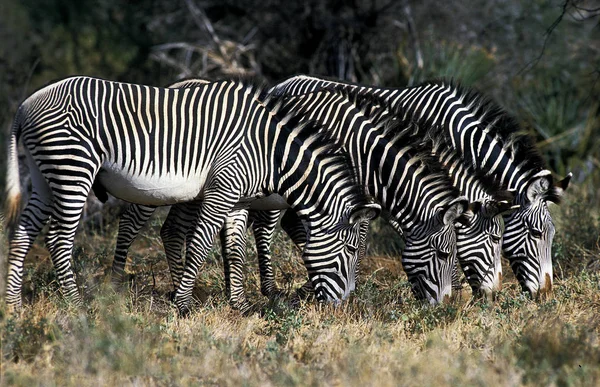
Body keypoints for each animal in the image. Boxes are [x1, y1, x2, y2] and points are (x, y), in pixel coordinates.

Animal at [3, 76, 380, 316]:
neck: (270, 150)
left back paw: (13, 306)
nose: (343, 308)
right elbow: (199, 246)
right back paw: (75, 304)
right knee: (57, 238)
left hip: (45, 176)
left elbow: (234, 251)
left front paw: (240, 305)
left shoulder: (239, 200)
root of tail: (24, 105)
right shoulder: (221, 191)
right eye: (351, 250)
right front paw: (183, 304)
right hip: (72, 169)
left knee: (23, 234)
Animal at [106, 82, 482, 306]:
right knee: (131, 222)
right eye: (444, 255)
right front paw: (352, 289)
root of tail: (177, 84)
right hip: (156, 184)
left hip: (193, 192)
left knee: (172, 230)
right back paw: (116, 282)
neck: (364, 152)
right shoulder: (349, 197)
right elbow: (354, 241)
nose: (447, 306)